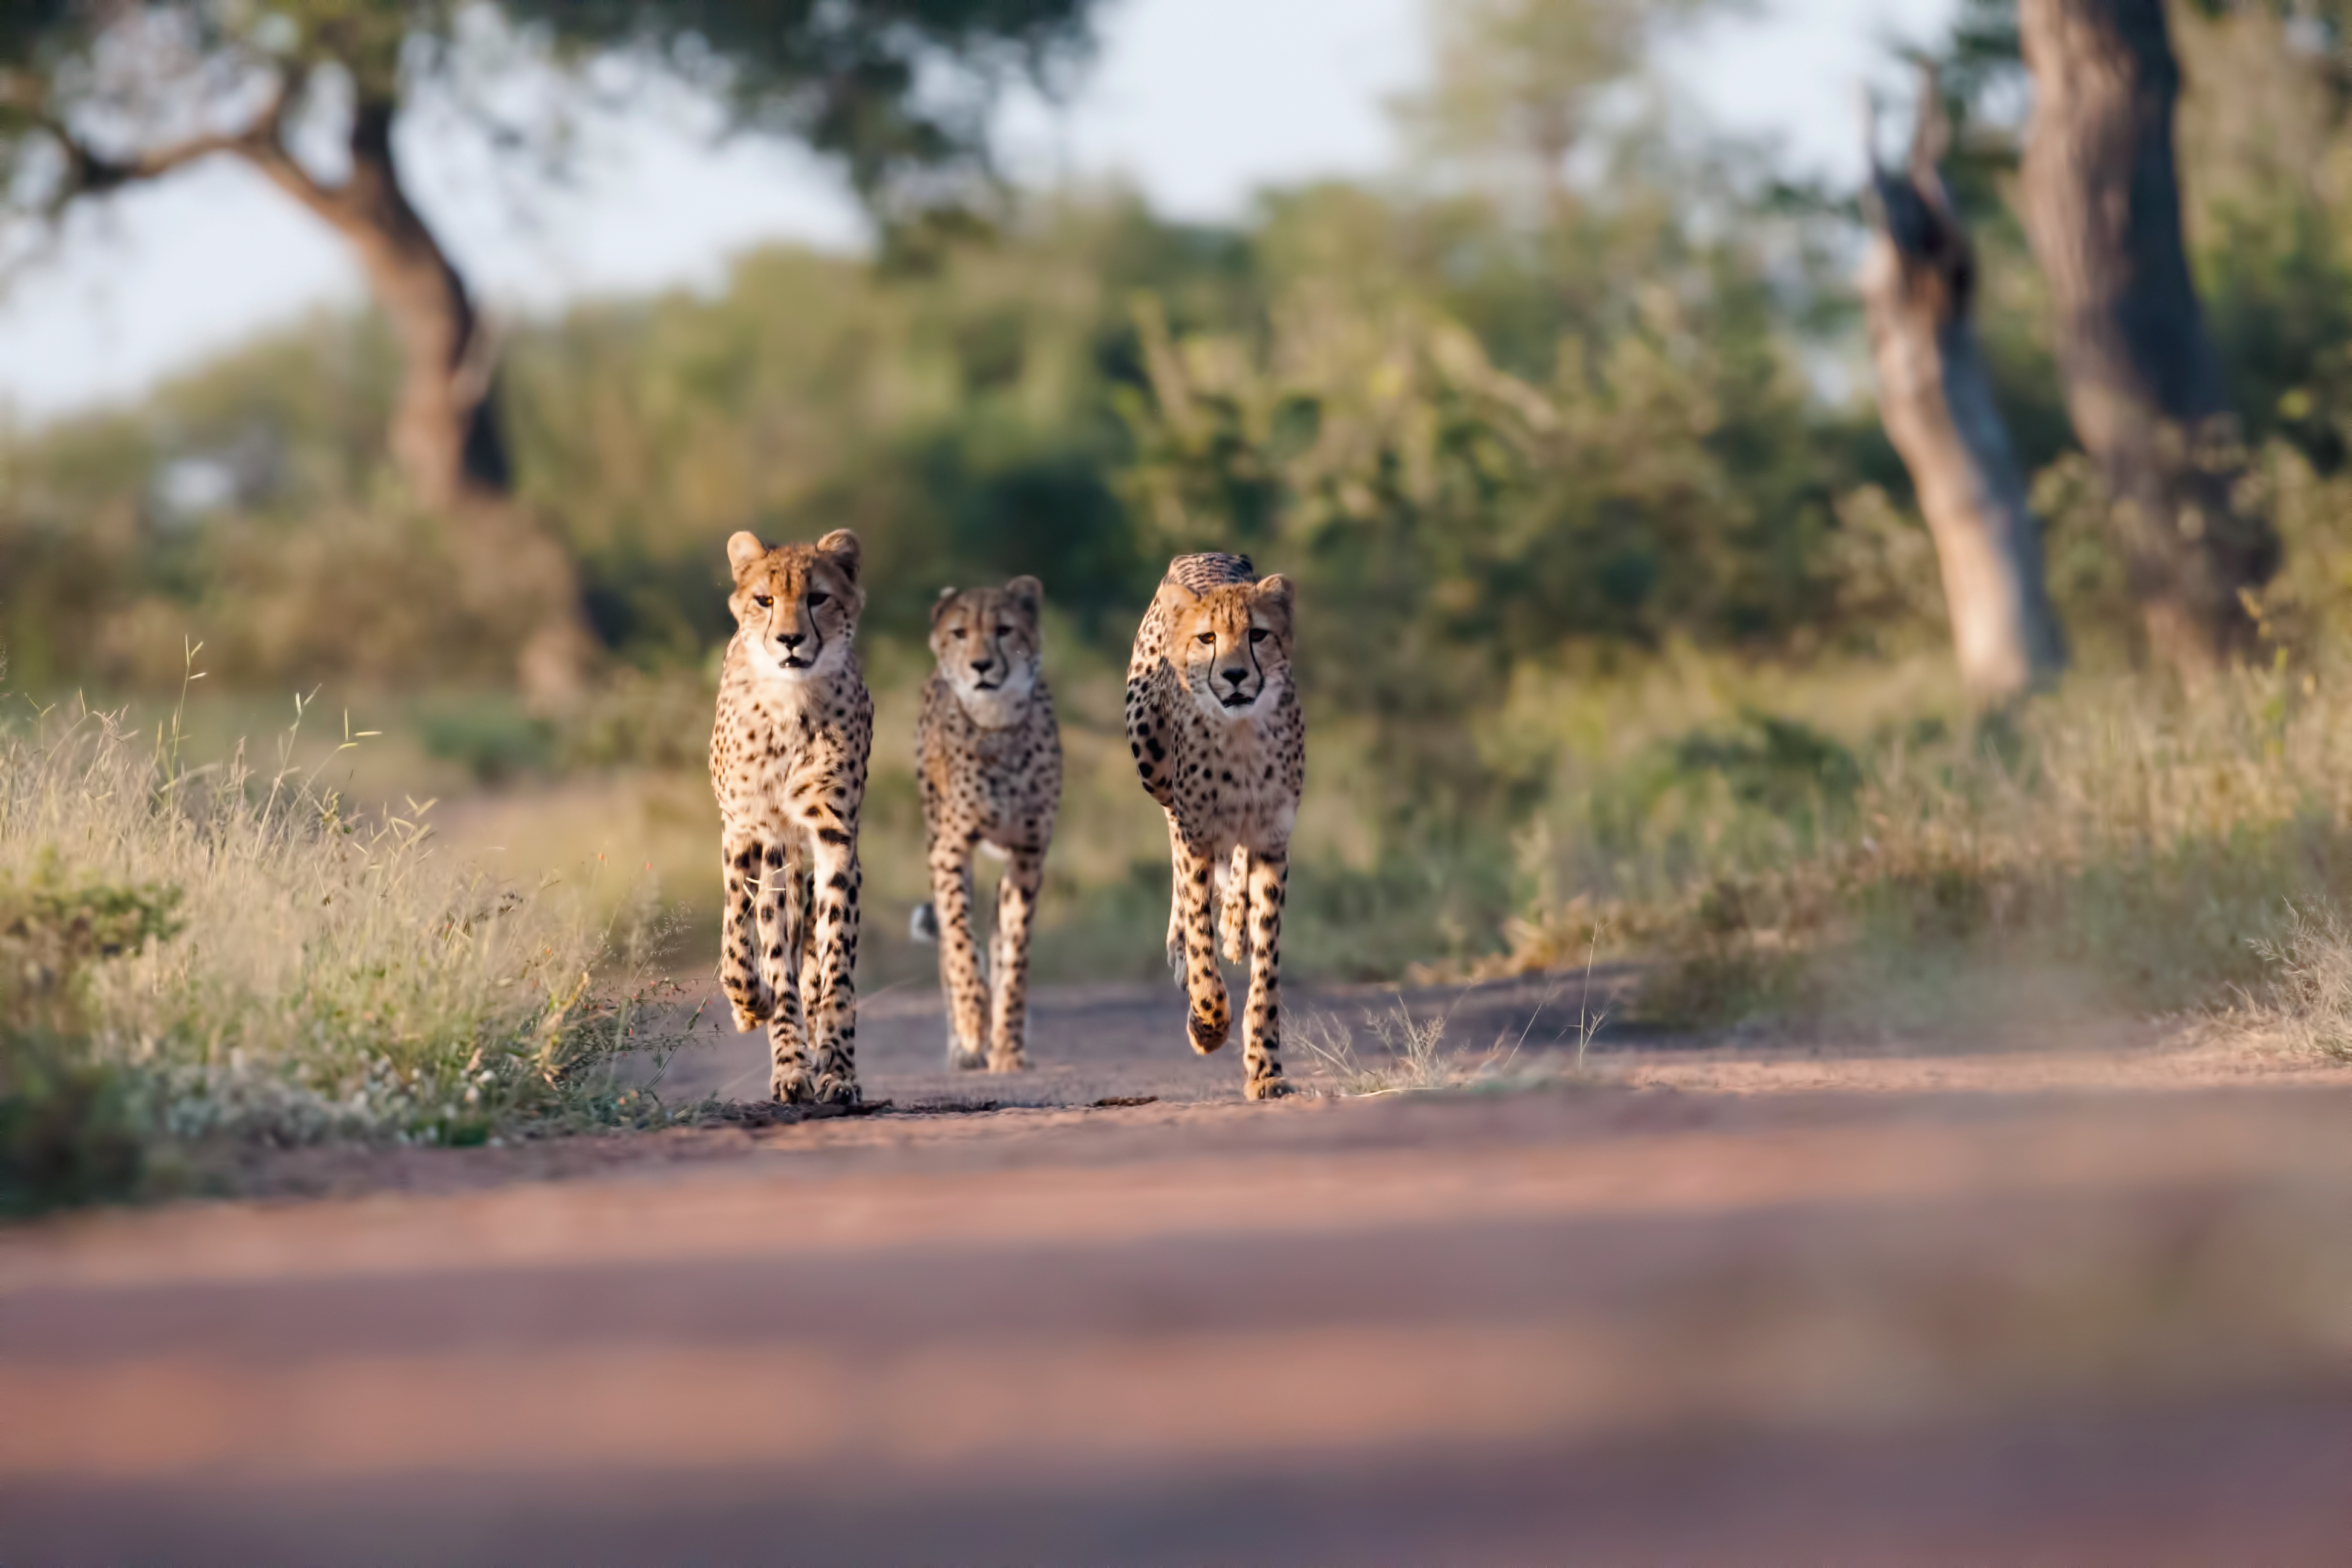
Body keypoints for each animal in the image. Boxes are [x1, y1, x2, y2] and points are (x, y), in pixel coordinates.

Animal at [709, 526, 874, 1107]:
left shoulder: (834, 836)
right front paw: (785, 1056)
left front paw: (839, 1071)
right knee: (740, 925)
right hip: (744, 840)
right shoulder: (762, 833)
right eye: (765, 600)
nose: (789, 640)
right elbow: (757, 950)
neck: (791, 703)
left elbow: (836, 962)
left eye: (818, 598)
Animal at [911, 575, 1063, 1072]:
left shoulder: (1027, 857)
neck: (996, 724)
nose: (980, 666)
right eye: (960, 634)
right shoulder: (951, 850)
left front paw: (1008, 1045)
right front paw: (974, 1023)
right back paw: (964, 1044)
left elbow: (1013, 959)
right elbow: (959, 944)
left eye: (1004, 630)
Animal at [1124, 552, 1305, 1100]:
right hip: (1150, 756)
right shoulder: (1195, 836)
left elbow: (1266, 967)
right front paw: (1207, 1023)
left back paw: (1233, 922)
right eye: (1208, 638)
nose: (1236, 675)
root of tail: (1203, 555)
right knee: (1177, 859)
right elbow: (1200, 939)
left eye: (1258, 635)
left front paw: (1265, 1067)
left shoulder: (1272, 843)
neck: (1240, 736)